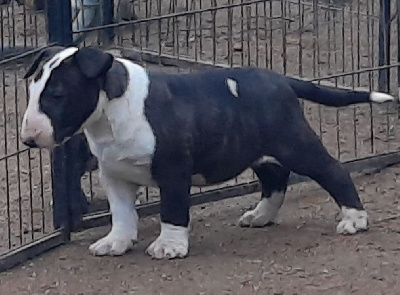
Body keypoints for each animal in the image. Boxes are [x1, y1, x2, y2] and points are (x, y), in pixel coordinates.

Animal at [20, 45, 396, 260]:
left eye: (57, 94)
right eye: (33, 90)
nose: (27, 139)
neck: (112, 110)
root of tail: (281, 80)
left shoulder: (173, 168)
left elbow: (173, 209)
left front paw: (169, 247)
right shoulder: (113, 173)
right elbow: (122, 213)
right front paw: (116, 242)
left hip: (294, 142)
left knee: (332, 170)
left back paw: (354, 219)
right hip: (257, 149)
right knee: (275, 178)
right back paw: (260, 216)